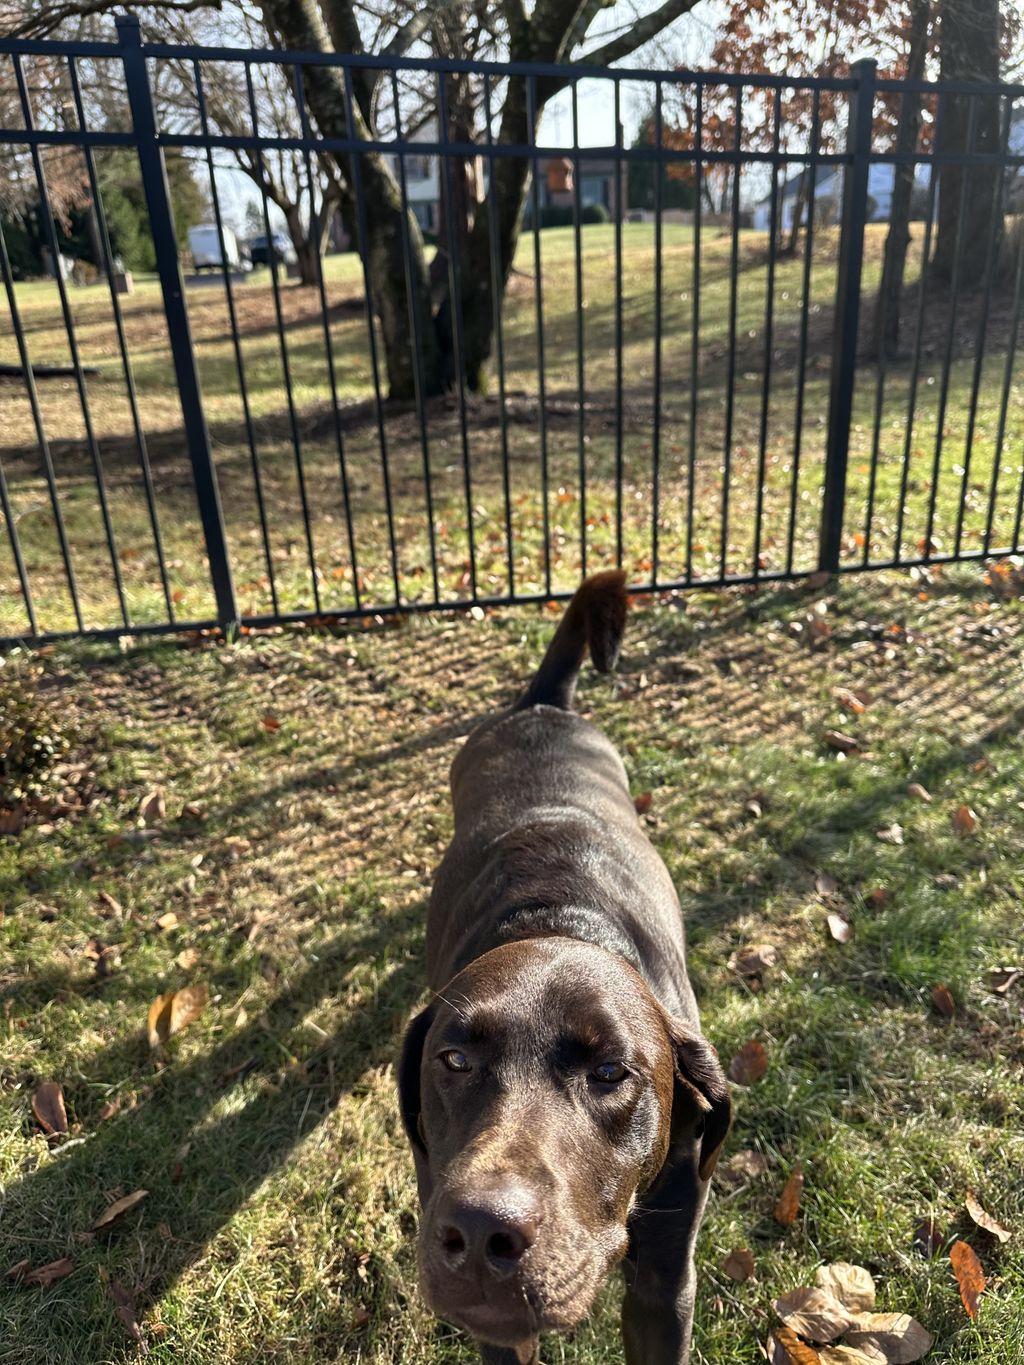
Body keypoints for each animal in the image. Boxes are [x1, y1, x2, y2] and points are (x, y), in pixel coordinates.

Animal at [395, 573, 731, 1365]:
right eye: (453, 1059)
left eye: (610, 1072)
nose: (480, 1231)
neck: (561, 921)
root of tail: (542, 704)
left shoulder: (665, 1282)